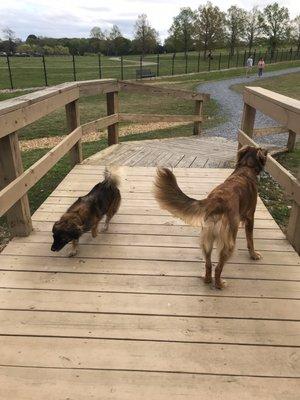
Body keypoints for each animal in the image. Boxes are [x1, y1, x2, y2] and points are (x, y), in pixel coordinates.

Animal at [154, 145, 268, 290]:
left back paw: (207, 279)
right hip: (229, 242)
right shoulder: (250, 217)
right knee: (218, 267)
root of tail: (216, 201)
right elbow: (250, 240)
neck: (245, 168)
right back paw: (219, 284)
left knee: (208, 264)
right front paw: (253, 255)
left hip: (206, 239)